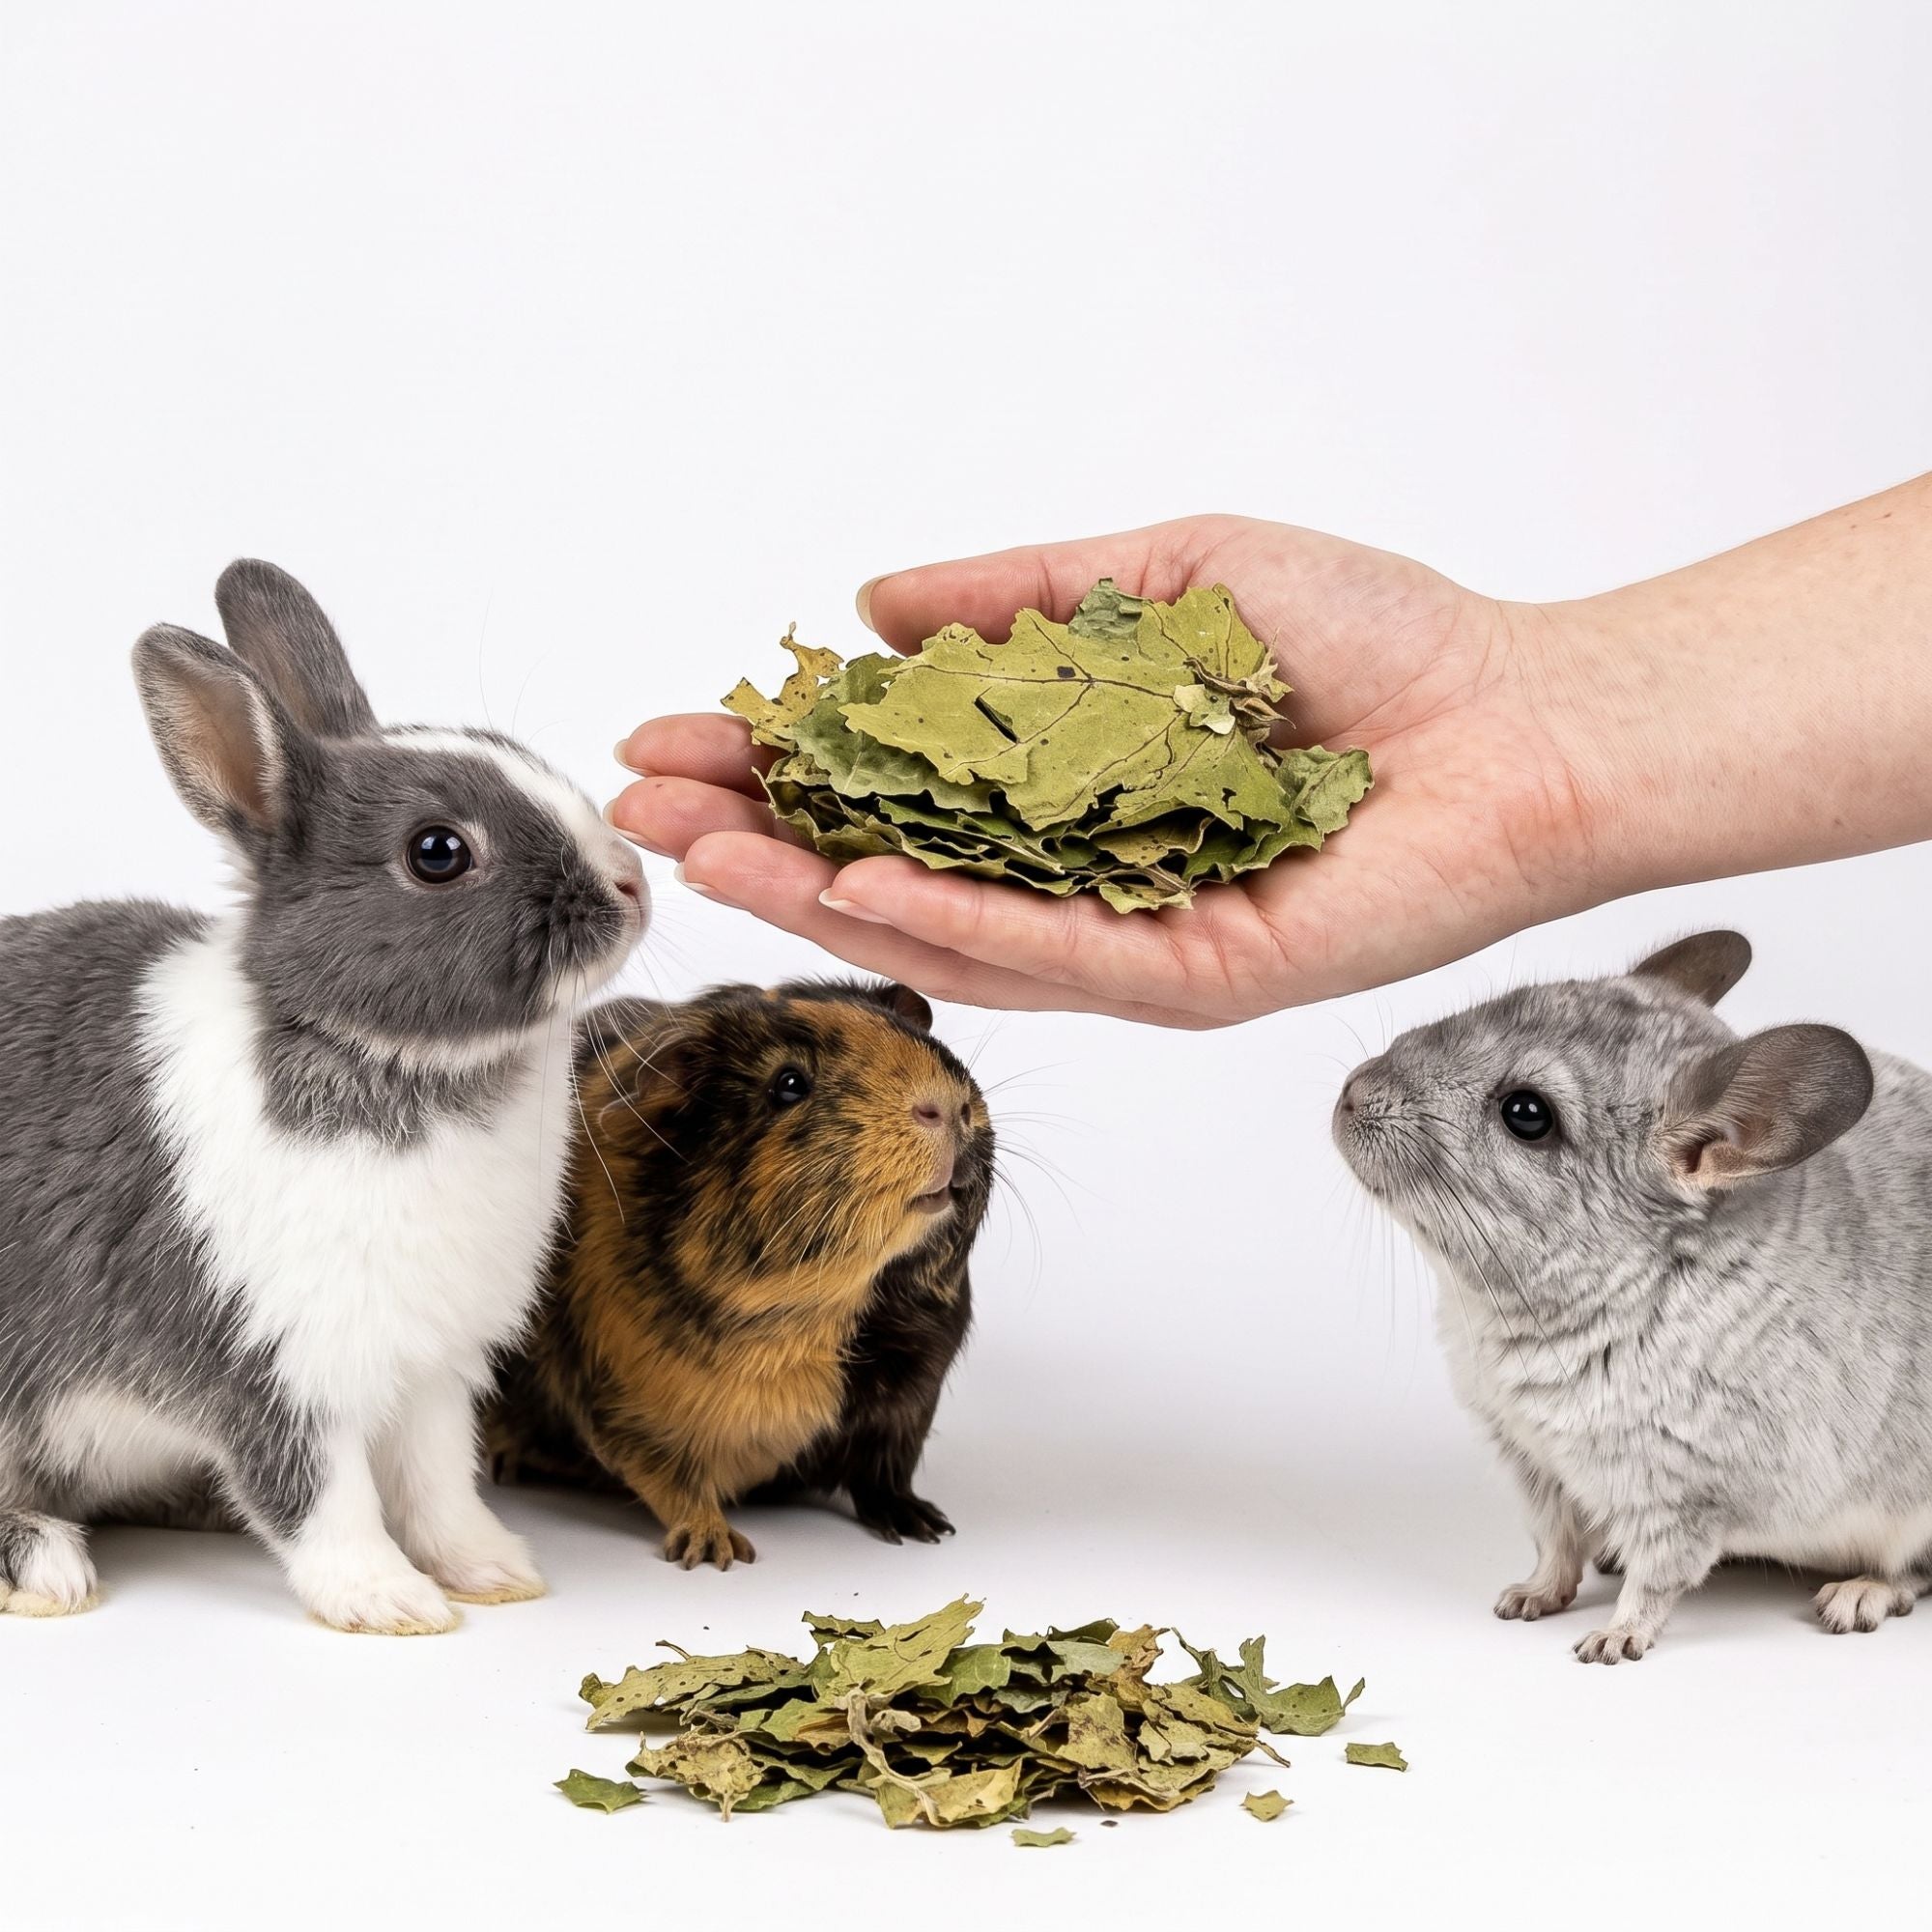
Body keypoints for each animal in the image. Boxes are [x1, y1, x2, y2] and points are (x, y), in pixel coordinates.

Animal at [0, 560, 647, 1633]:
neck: (382, 1055)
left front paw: (491, 1570)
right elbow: (319, 1496)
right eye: (437, 851)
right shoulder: (273, 1364)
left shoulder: (432, 1371)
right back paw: (44, 1567)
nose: (631, 882)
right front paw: (390, 1602)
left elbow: (437, 1482)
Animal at [1330, 930, 1932, 1664]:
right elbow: (1554, 1545)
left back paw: (1858, 1594)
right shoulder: (1529, 1459)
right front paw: (1527, 1598)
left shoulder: (1682, 1489)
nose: (1352, 1092)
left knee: (1913, 1573)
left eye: (1527, 1114)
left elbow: (1658, 1577)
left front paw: (1611, 1640)